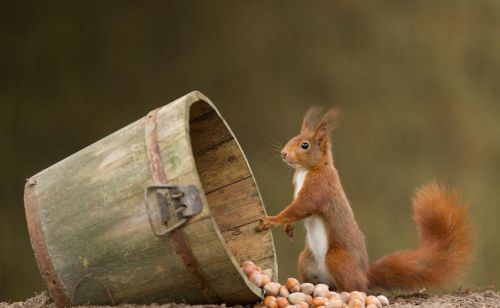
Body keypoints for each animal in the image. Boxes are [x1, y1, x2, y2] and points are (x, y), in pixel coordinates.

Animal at [258, 107, 472, 292]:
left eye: (305, 145)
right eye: (292, 138)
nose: (283, 153)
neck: (307, 170)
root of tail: (365, 276)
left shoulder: (318, 189)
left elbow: (299, 208)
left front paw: (272, 220)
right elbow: (294, 210)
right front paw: (288, 227)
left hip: (337, 259)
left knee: (354, 286)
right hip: (305, 260)